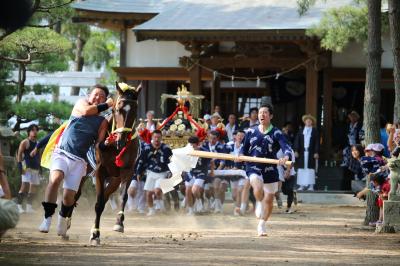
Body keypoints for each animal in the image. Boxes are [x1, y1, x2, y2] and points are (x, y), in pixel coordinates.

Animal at [90, 81, 141, 245]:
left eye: (135, 110)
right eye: (117, 109)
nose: (121, 140)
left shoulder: (127, 170)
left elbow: (124, 195)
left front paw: (119, 222)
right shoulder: (100, 170)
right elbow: (98, 203)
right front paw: (95, 234)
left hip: (114, 178)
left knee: (106, 196)